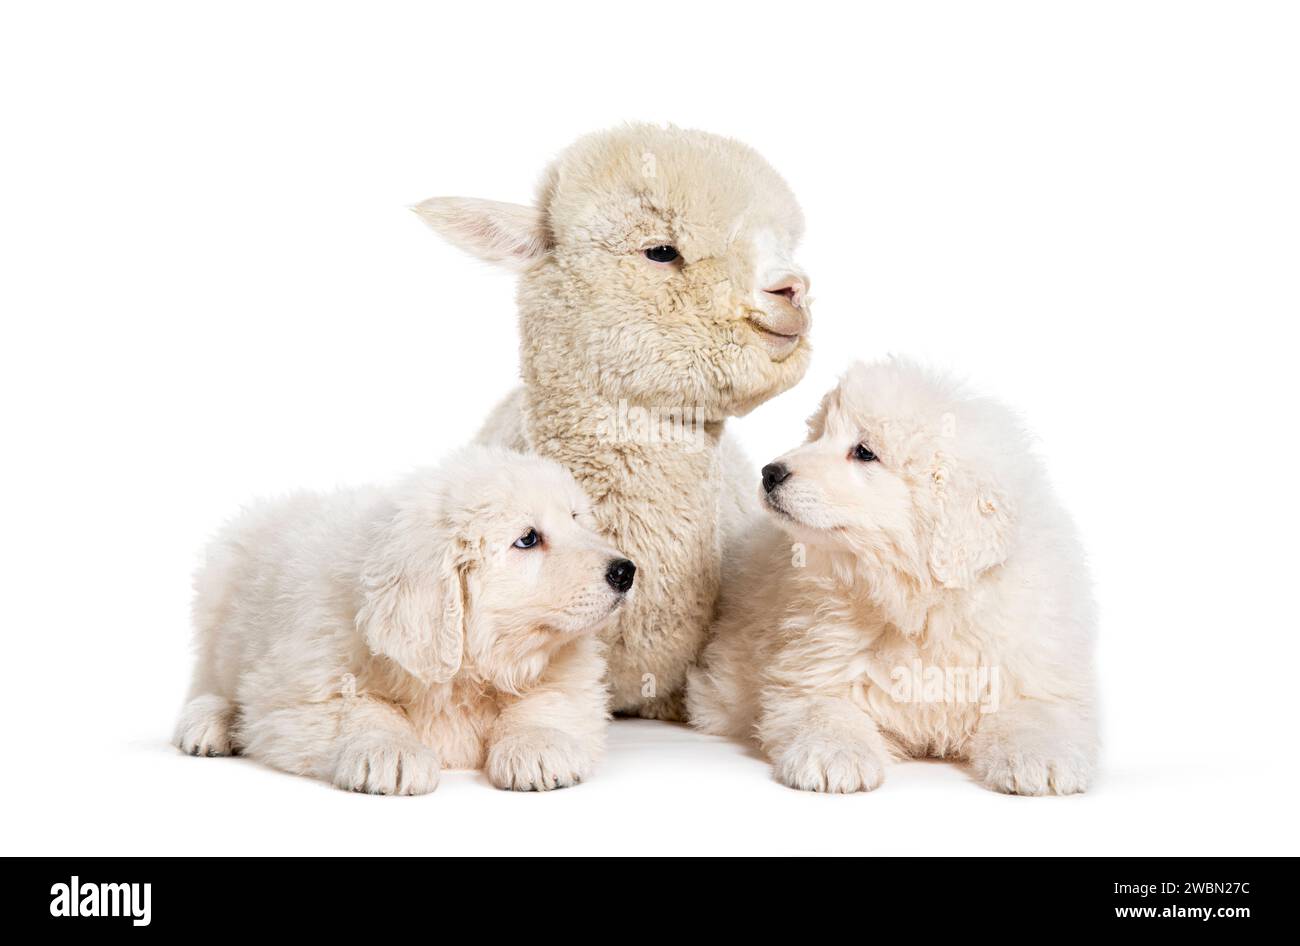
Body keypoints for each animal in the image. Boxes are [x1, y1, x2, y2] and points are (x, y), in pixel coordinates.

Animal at [174, 444, 634, 790]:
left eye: (575, 518)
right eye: (528, 539)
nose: (625, 571)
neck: (465, 674)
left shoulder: (568, 674)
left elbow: (545, 701)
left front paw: (536, 747)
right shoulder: (300, 690)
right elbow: (358, 708)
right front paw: (388, 751)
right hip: (217, 605)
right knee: (207, 684)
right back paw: (209, 723)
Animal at [686, 358, 1102, 795]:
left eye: (865, 452)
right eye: (818, 434)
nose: (769, 472)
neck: (920, 606)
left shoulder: (1030, 668)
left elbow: (1039, 711)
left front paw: (1043, 759)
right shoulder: (813, 667)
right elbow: (824, 709)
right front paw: (835, 756)